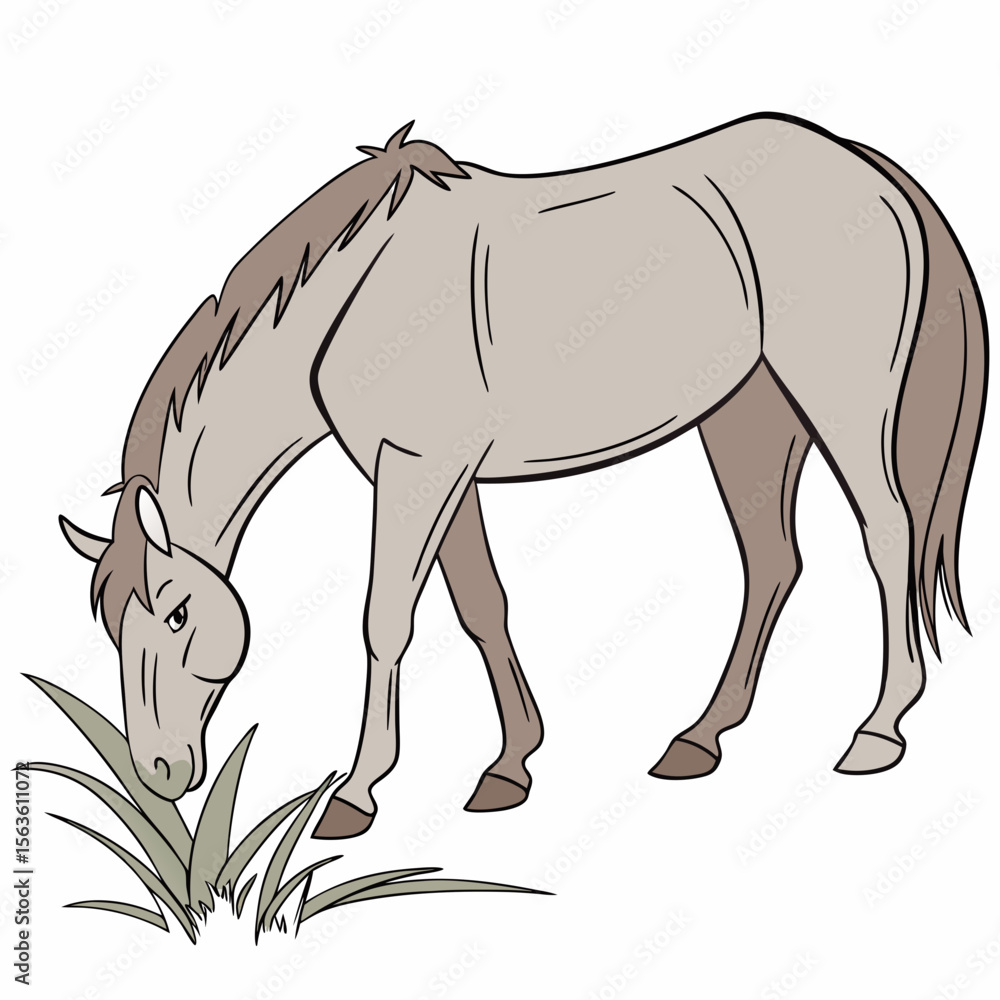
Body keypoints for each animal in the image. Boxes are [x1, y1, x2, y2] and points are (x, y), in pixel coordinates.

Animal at [59, 113, 988, 839]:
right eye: (112, 626)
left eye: (178, 614)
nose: (159, 774)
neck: (352, 296)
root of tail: (858, 160)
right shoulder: (445, 477)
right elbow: (482, 608)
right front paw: (510, 766)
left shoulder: (415, 474)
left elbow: (386, 621)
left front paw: (357, 794)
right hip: (749, 415)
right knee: (772, 563)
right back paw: (699, 740)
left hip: (842, 401)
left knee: (886, 534)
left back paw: (878, 731)